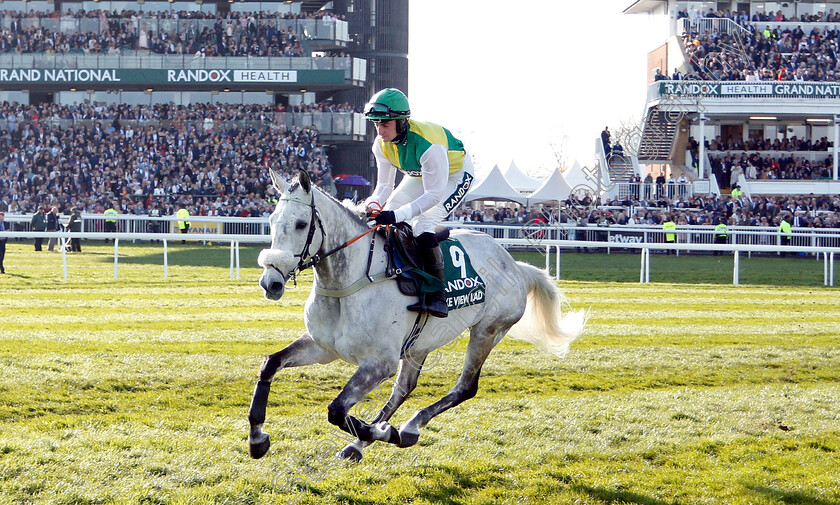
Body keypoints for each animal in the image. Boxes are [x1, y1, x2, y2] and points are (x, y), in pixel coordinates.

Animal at [249, 169, 584, 460]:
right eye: (271, 220)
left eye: (300, 224)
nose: (271, 282)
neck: (348, 284)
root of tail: (516, 265)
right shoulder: (322, 347)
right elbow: (270, 364)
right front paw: (257, 437)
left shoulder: (379, 363)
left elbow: (337, 410)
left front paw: (387, 433)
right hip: (419, 343)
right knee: (403, 389)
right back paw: (361, 444)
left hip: (487, 330)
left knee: (465, 387)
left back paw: (407, 428)